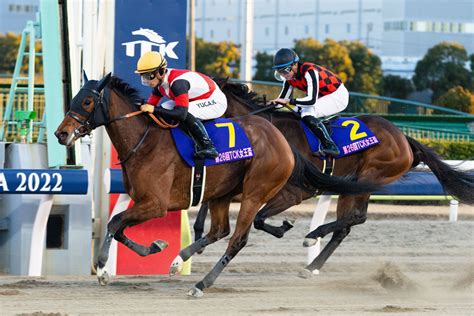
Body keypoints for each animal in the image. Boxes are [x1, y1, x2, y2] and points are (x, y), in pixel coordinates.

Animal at [53, 73, 376, 296]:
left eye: (87, 101)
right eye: (73, 98)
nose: (61, 134)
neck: (144, 142)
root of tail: (283, 142)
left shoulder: (156, 204)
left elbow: (114, 222)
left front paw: (103, 267)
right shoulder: (144, 201)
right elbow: (119, 227)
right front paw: (155, 247)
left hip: (255, 192)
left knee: (238, 239)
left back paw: (201, 283)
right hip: (223, 193)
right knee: (219, 230)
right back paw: (179, 260)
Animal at [193, 79, 474, 274]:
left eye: (204, 101)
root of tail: (404, 138)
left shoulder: (295, 191)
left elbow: (260, 219)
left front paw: (284, 228)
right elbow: (209, 202)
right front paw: (198, 237)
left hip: (368, 177)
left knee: (357, 217)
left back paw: (313, 236)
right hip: (352, 185)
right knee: (346, 226)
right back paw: (311, 266)